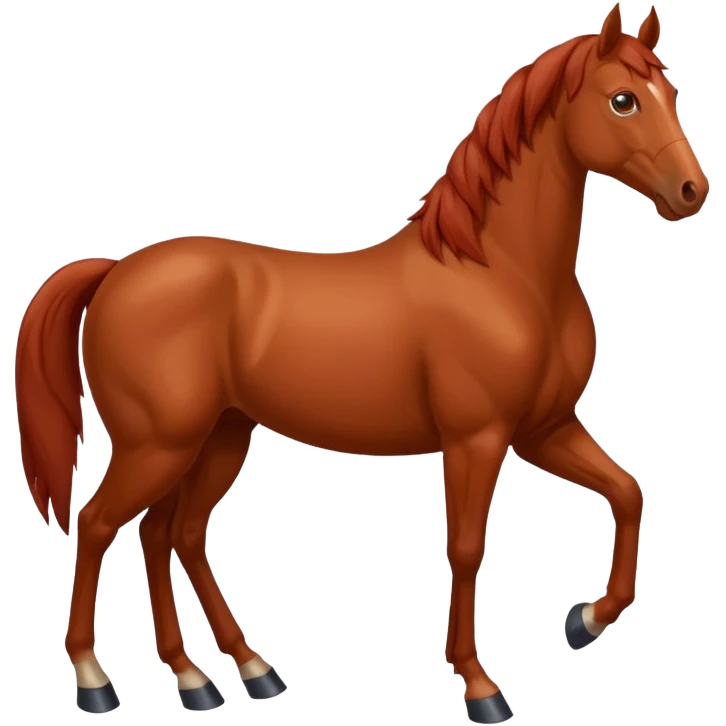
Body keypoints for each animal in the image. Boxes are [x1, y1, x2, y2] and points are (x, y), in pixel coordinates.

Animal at [14, 3, 708, 722]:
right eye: (623, 100)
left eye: (671, 93)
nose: (691, 191)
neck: (503, 273)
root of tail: (116, 272)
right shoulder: (478, 439)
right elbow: (466, 549)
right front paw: (480, 686)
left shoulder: (545, 430)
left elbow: (628, 493)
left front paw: (585, 620)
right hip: (157, 444)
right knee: (99, 525)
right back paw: (96, 679)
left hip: (218, 437)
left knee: (168, 534)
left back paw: (218, 675)